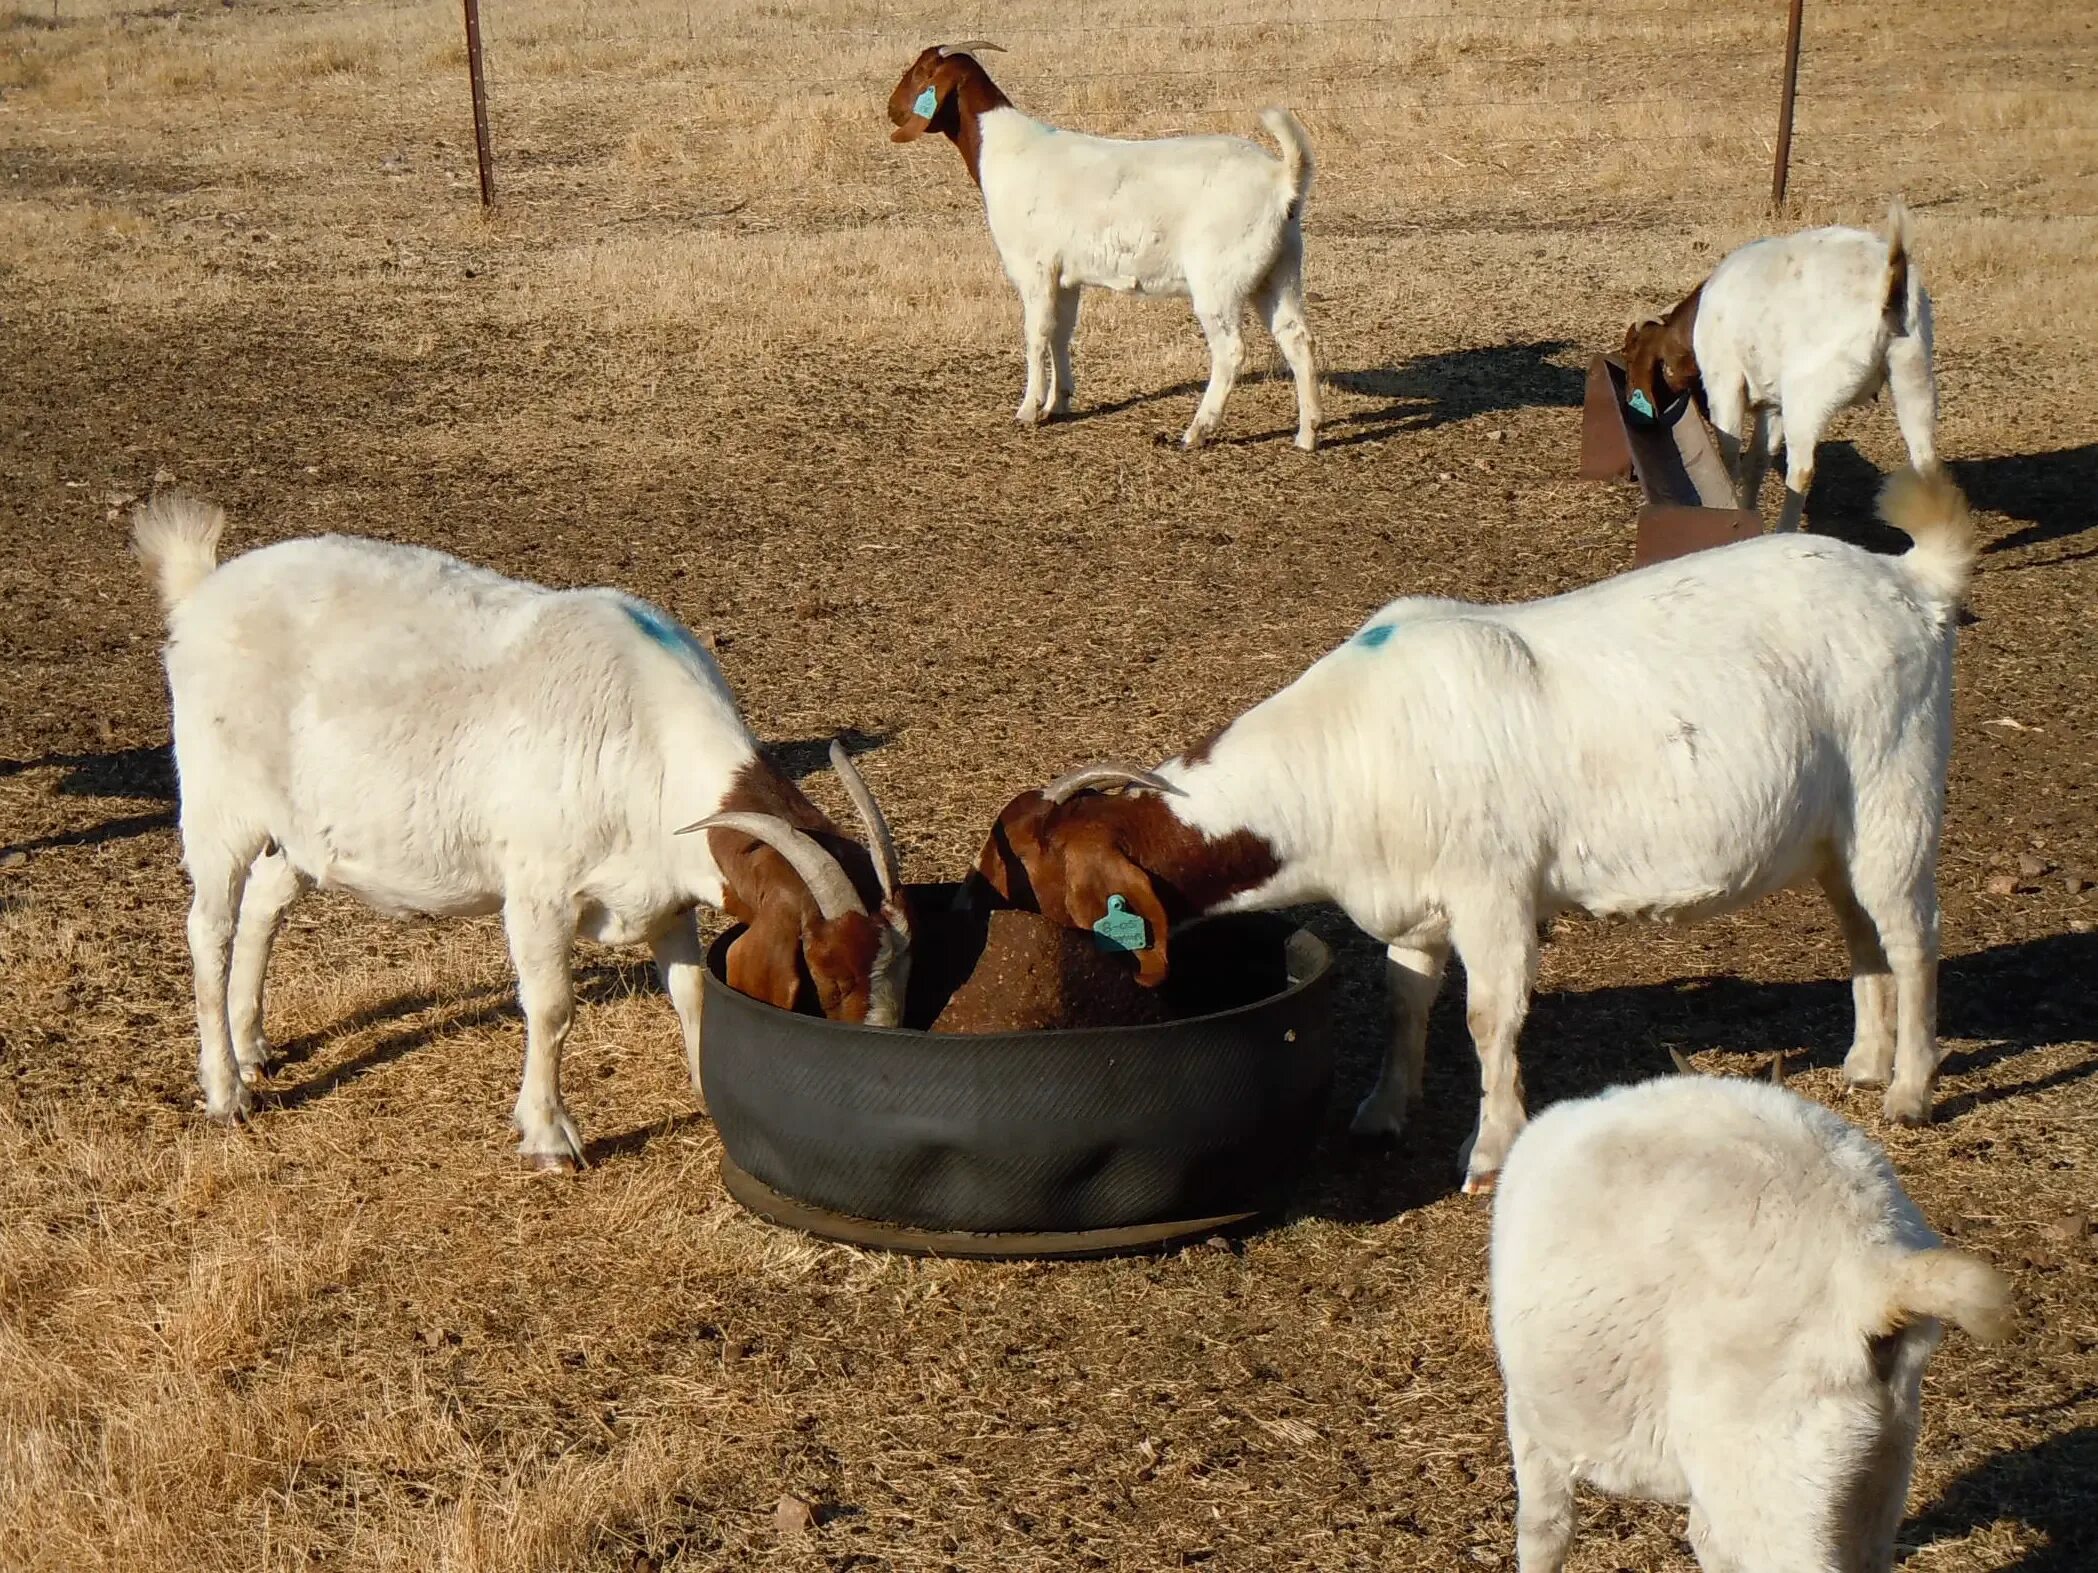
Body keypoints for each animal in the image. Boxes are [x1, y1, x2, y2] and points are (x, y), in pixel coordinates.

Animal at [133, 492, 910, 1174]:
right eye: (829, 971)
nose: (877, 1060)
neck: (650, 742)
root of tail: (202, 592)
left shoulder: (664, 897)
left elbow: (690, 991)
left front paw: (708, 1091)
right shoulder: (540, 889)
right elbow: (553, 1007)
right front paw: (549, 1137)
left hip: (297, 826)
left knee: (264, 907)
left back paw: (252, 1046)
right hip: (219, 801)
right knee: (211, 927)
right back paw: (227, 1090)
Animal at [889, 42, 1317, 448]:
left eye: (921, 71)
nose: (892, 109)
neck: (1003, 148)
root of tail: (1282, 179)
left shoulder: (1035, 268)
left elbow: (1036, 334)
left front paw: (1028, 409)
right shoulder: (1066, 276)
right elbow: (1061, 332)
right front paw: (1058, 403)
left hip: (1219, 277)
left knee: (1230, 350)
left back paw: (1197, 431)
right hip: (1277, 269)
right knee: (1296, 336)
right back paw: (1307, 435)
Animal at [973, 467, 1972, 1191]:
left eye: (1037, 884)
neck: (1342, 753)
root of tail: (1907, 578)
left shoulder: (1492, 890)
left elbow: (1490, 1015)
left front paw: (1490, 1149)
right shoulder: (1411, 901)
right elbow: (1404, 997)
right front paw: (1383, 1109)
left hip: (1896, 789)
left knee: (1913, 935)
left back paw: (1911, 1087)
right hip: (1833, 831)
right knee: (1862, 931)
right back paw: (1863, 1062)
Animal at [1611, 200, 1938, 536]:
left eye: (1630, 354)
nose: (1632, 413)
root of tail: (1890, 278)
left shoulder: (1723, 381)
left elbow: (1729, 454)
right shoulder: (1773, 406)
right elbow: (1757, 461)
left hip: (1808, 391)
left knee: (1803, 470)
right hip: (1913, 370)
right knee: (1925, 461)